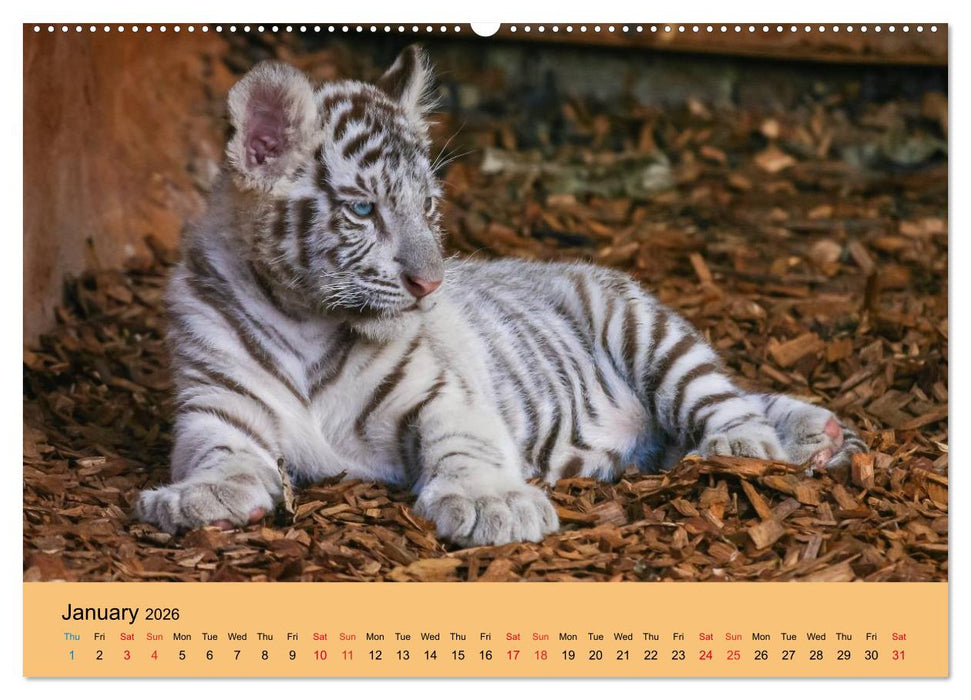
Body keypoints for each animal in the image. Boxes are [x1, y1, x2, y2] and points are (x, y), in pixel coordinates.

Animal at [135, 45, 867, 546]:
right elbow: (219, 455)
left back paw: (764, 443)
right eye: (364, 209)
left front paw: (495, 505)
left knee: (723, 400)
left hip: (643, 329)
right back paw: (815, 434)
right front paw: (198, 498)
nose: (431, 284)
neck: (306, 322)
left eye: (428, 206)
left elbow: (466, 444)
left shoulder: (444, 395)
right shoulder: (215, 408)